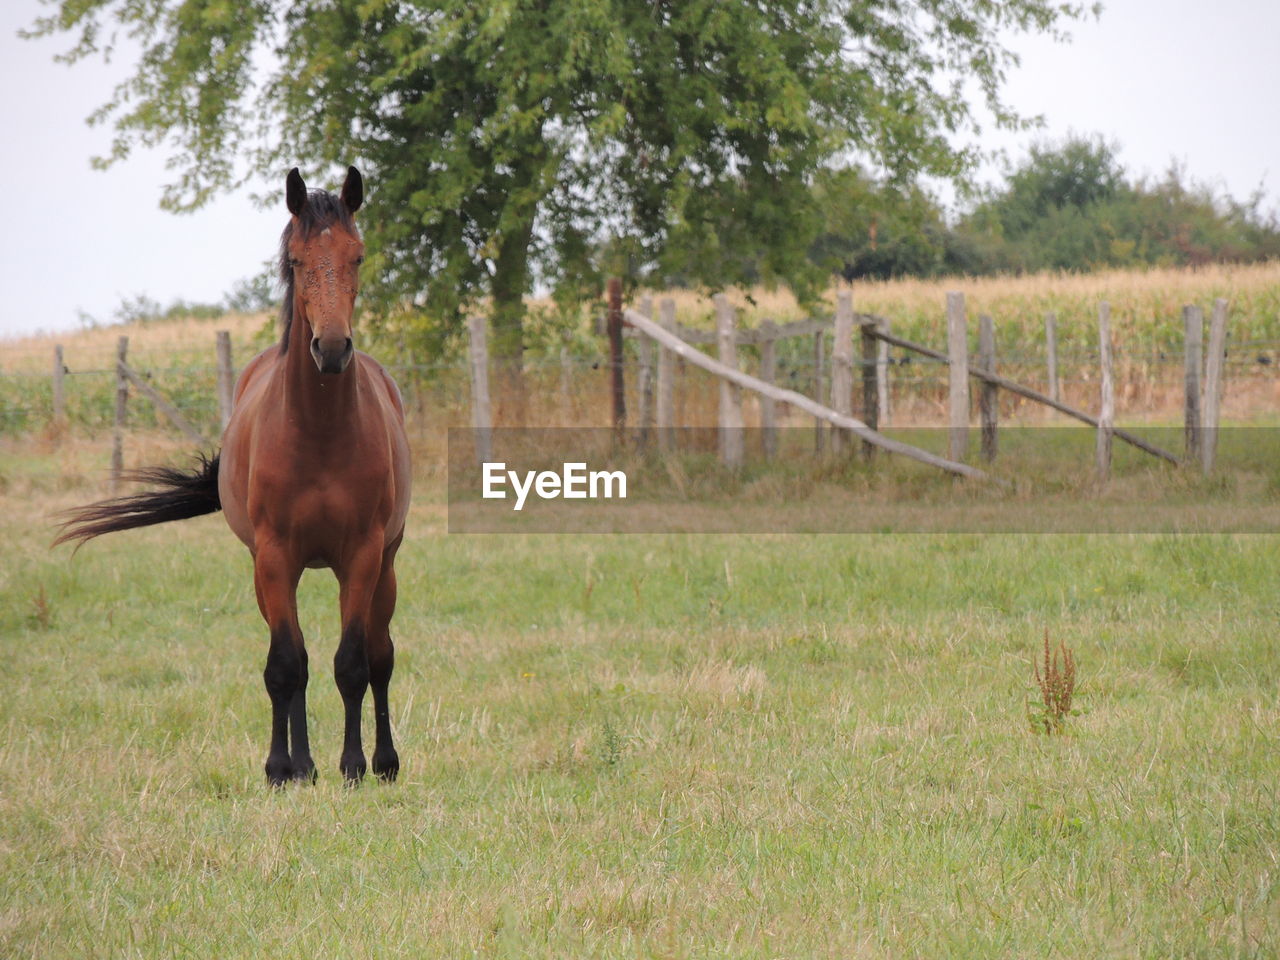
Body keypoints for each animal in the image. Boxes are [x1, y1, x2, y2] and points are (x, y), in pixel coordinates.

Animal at [56, 167, 409, 788]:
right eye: (295, 259)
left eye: (358, 256)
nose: (332, 348)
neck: (319, 432)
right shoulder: (272, 556)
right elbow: (286, 665)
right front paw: (283, 768)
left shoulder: (363, 555)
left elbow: (354, 663)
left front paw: (354, 766)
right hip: (270, 572)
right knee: (298, 657)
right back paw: (304, 765)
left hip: (384, 565)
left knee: (381, 654)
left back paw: (383, 762)